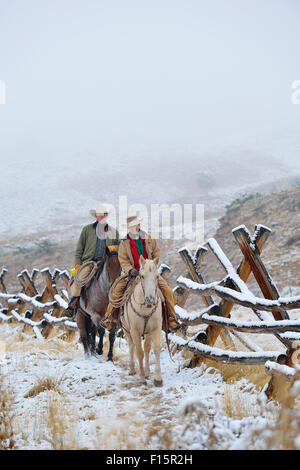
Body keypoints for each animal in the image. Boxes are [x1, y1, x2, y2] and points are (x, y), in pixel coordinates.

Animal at [120, 258, 164, 386]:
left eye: (157, 276)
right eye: (142, 276)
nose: (150, 299)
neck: (145, 308)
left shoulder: (155, 329)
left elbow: (156, 349)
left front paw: (157, 378)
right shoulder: (134, 331)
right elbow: (139, 352)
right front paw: (142, 378)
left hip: (147, 333)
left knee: (147, 348)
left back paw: (147, 372)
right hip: (126, 330)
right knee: (131, 347)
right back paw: (132, 369)